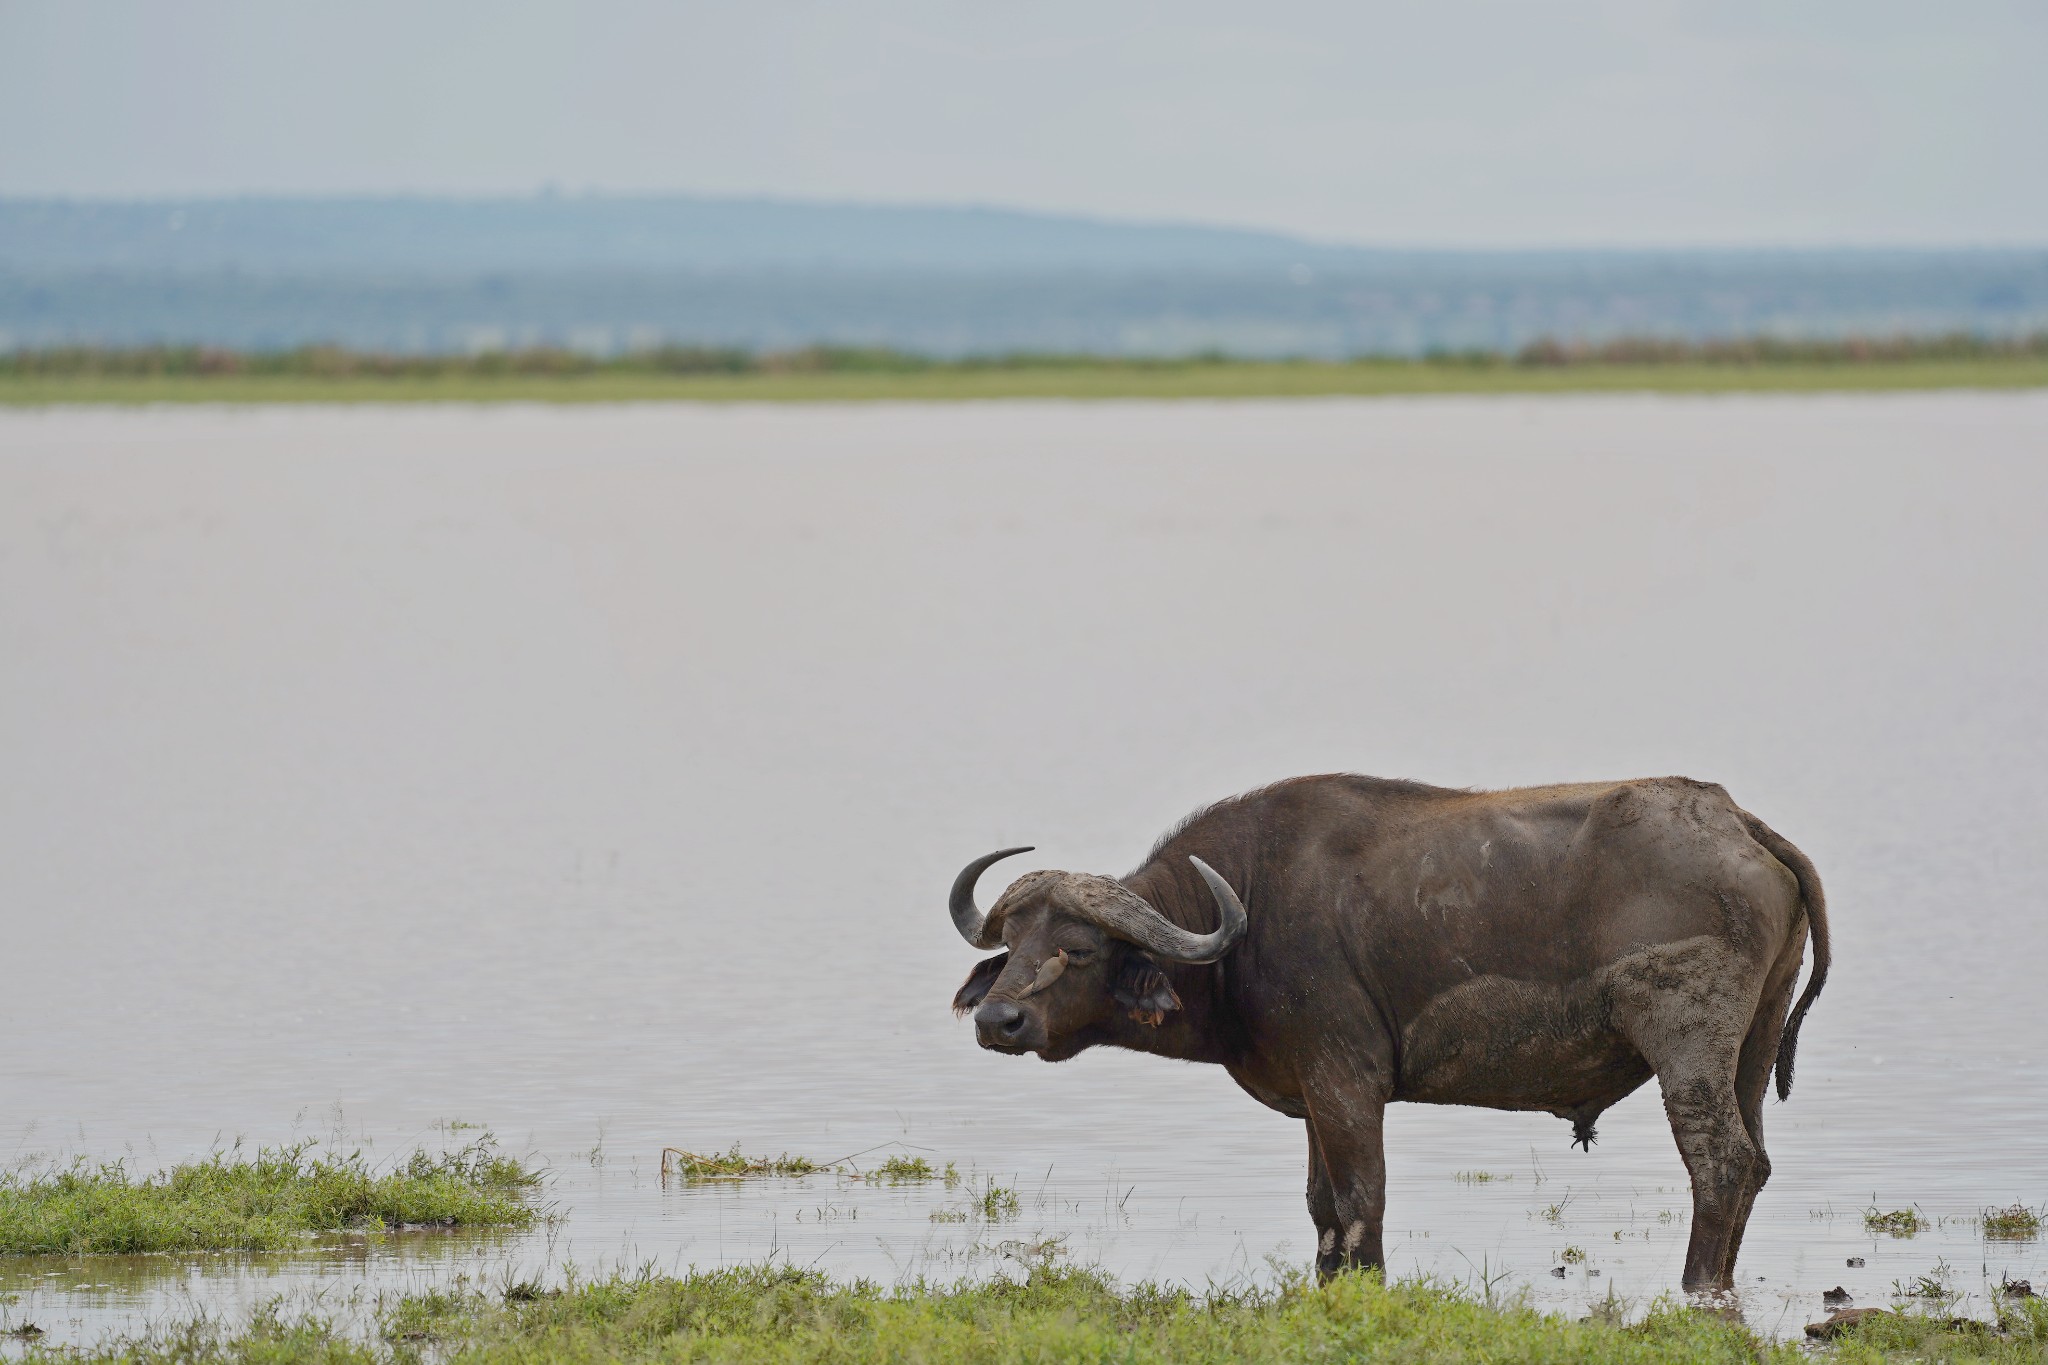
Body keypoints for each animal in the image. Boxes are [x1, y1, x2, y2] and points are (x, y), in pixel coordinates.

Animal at [950, 773, 1835, 1301]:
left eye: (1078, 947)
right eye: (1015, 939)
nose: (997, 1020)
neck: (1247, 911)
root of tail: (1737, 821)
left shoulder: (1347, 1082)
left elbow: (1360, 1199)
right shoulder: (1313, 1093)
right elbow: (1321, 1206)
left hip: (1688, 1047)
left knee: (1719, 1160)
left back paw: (1696, 1286)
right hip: (1752, 1048)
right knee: (1754, 1160)